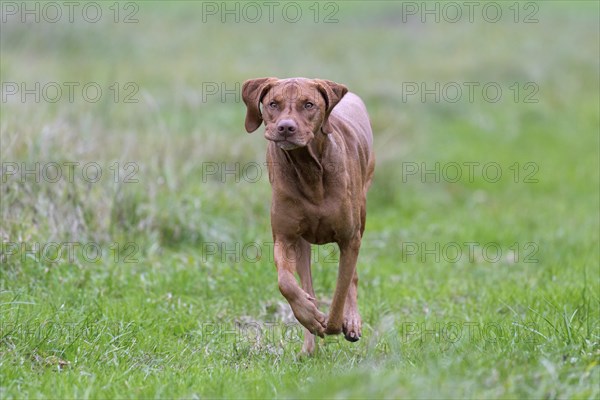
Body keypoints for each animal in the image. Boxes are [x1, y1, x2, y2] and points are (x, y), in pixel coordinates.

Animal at [240, 77, 372, 354]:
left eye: (308, 104)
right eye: (273, 104)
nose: (285, 127)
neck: (308, 168)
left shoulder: (349, 239)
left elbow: (341, 289)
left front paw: (335, 323)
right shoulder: (286, 238)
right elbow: (286, 282)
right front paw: (310, 317)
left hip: (362, 212)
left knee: (352, 276)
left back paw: (350, 321)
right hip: (302, 244)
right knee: (306, 280)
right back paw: (309, 344)